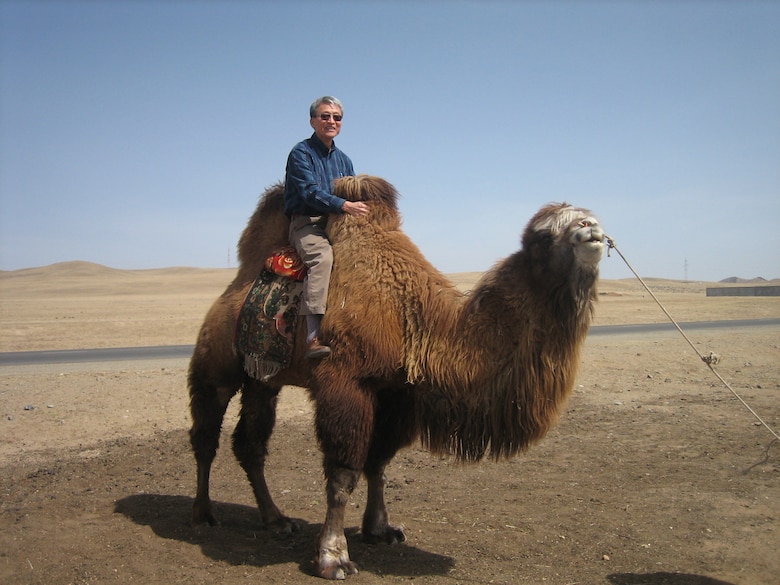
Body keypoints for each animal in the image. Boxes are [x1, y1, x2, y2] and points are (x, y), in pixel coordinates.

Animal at [186, 172, 608, 576]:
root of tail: (235, 286)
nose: (591, 228)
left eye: (587, 219)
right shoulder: (345, 383)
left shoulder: (396, 391)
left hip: (263, 379)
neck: (412, 316)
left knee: (250, 443)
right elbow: (343, 474)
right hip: (216, 364)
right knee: (206, 434)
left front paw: (380, 529)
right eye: (543, 236)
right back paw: (203, 514)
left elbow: (379, 462)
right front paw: (333, 557)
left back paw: (275, 520)